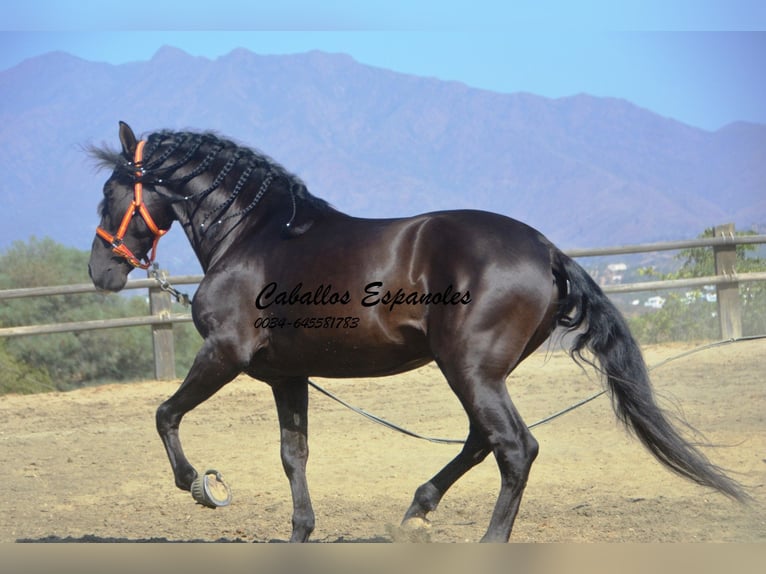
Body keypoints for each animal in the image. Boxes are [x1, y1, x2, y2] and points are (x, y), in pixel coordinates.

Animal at [87, 122, 748, 544]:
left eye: (109, 192)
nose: (102, 271)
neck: (255, 237)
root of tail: (546, 249)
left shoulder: (224, 353)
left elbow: (166, 414)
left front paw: (198, 485)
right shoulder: (288, 376)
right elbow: (293, 456)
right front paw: (299, 533)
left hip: (468, 368)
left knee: (514, 448)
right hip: (478, 371)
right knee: (482, 441)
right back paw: (416, 511)